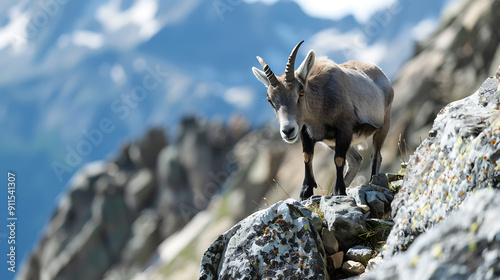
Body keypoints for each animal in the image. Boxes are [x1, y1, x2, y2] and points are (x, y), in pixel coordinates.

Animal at [252, 40, 392, 200]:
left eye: (301, 92)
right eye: (270, 100)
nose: (288, 131)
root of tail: (382, 75)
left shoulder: (344, 129)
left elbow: (338, 159)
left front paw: (339, 191)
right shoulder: (305, 132)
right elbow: (307, 157)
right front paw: (306, 192)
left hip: (383, 126)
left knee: (376, 156)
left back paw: (372, 182)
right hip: (332, 142)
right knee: (356, 159)